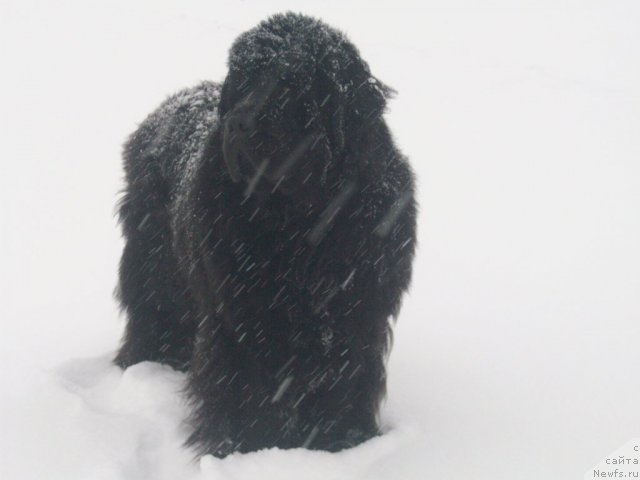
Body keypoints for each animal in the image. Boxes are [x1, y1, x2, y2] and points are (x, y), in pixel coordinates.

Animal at [113, 12, 418, 458]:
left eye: (291, 84)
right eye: (243, 80)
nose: (238, 122)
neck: (305, 221)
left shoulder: (355, 314)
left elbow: (343, 381)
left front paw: (341, 441)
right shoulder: (245, 317)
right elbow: (248, 388)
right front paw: (250, 447)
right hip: (157, 267)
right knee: (155, 316)